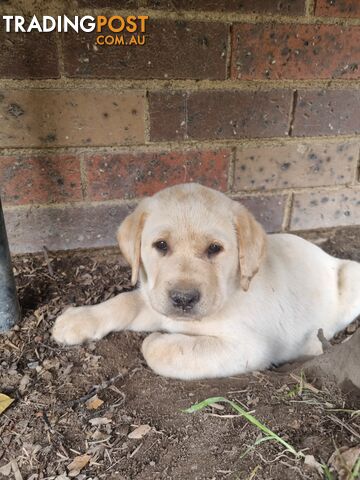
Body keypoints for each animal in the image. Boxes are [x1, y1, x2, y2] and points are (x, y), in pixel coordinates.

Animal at [52, 183, 360, 378]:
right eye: (161, 245)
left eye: (214, 249)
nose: (183, 299)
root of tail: (332, 258)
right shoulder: (153, 298)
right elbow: (122, 302)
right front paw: (77, 319)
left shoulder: (249, 348)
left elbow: (155, 347)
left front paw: (158, 338)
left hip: (352, 276)